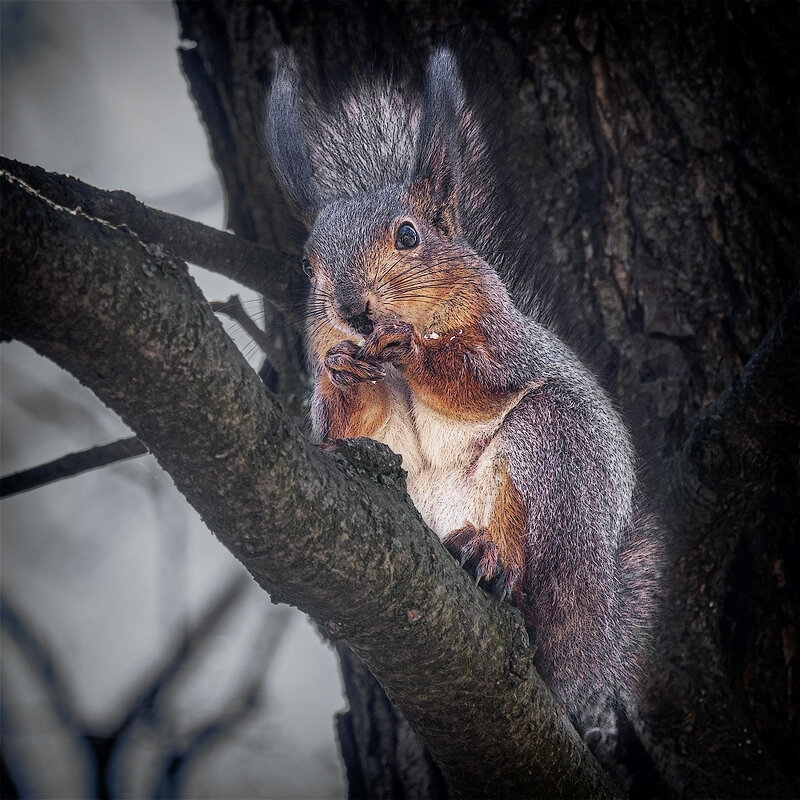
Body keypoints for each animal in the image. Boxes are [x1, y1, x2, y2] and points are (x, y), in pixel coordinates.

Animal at [268, 48, 664, 752]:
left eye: (408, 236)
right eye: (310, 265)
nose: (352, 310)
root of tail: (589, 648)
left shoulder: (507, 347)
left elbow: (474, 380)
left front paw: (415, 350)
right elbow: (347, 429)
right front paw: (341, 374)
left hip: (554, 458)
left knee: (528, 560)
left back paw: (491, 557)